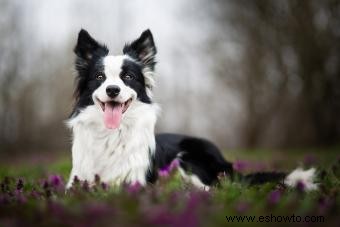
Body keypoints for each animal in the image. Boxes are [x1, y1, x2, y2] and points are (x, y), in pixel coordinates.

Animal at [67, 29, 318, 191]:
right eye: (99, 77)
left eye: (127, 77)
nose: (112, 90)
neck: (110, 134)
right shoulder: (76, 181)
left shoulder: (135, 182)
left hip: (188, 157)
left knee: (212, 189)